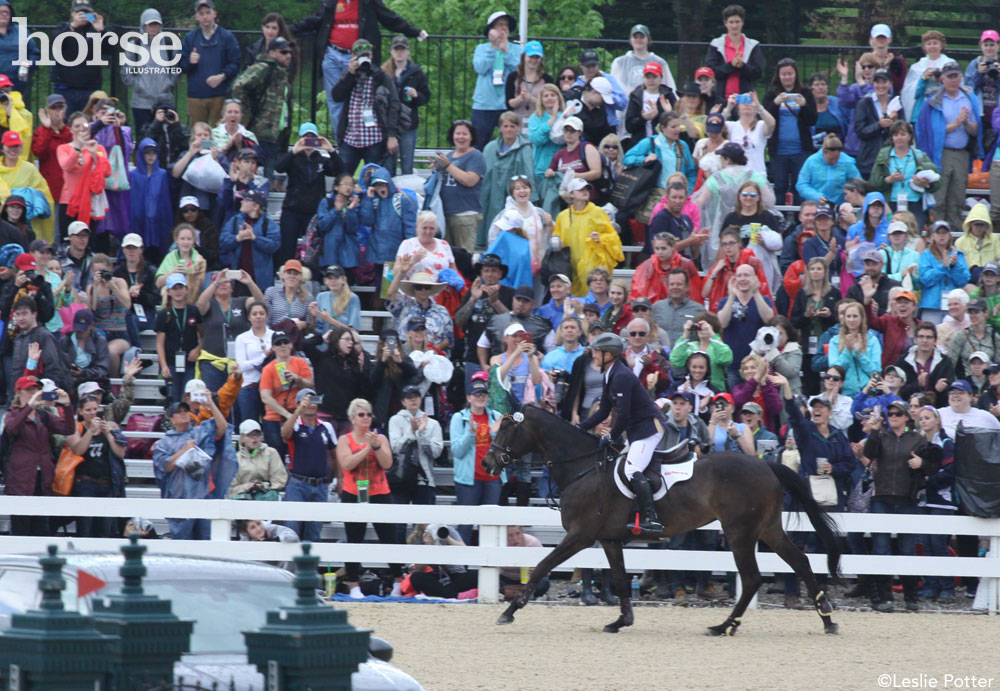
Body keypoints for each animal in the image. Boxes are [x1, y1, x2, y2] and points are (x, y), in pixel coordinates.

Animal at [480, 406, 840, 636]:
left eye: (508, 429)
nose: (487, 462)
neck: (582, 469)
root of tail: (766, 465)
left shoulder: (580, 536)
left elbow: (541, 566)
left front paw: (509, 611)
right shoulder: (609, 540)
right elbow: (620, 580)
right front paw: (620, 622)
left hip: (740, 533)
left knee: (752, 578)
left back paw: (724, 626)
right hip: (768, 529)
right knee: (800, 562)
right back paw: (826, 619)